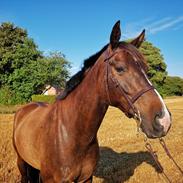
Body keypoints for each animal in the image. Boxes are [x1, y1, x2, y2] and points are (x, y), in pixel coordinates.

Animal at [12, 20, 172, 182]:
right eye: (120, 68)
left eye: (146, 69)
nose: (163, 120)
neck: (72, 133)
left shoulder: (86, 178)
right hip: (21, 162)